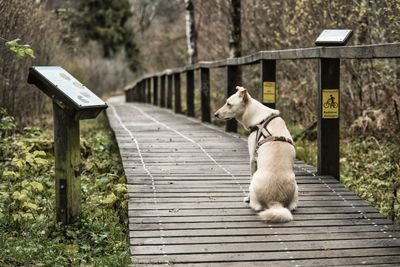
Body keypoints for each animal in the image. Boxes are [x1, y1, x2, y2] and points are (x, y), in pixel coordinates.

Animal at [216, 87, 296, 223]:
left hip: (254, 185)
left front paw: (247, 198)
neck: (261, 119)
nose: (215, 114)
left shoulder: (252, 158)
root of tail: (275, 203)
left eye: (228, 104)